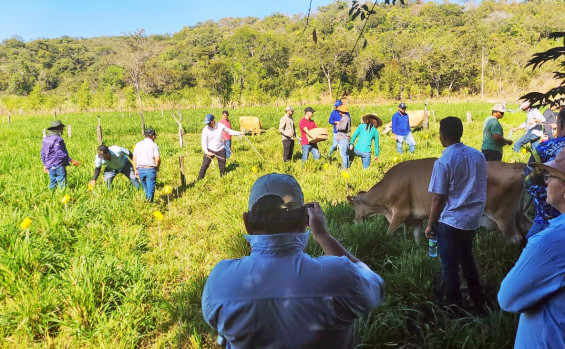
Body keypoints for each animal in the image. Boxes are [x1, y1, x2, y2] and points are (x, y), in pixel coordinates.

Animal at [346, 158, 532, 242]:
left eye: (354, 207)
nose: (354, 221)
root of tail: (514, 166)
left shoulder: (400, 212)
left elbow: (389, 231)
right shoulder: (417, 217)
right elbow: (416, 237)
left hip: (504, 217)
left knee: (515, 238)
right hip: (518, 215)